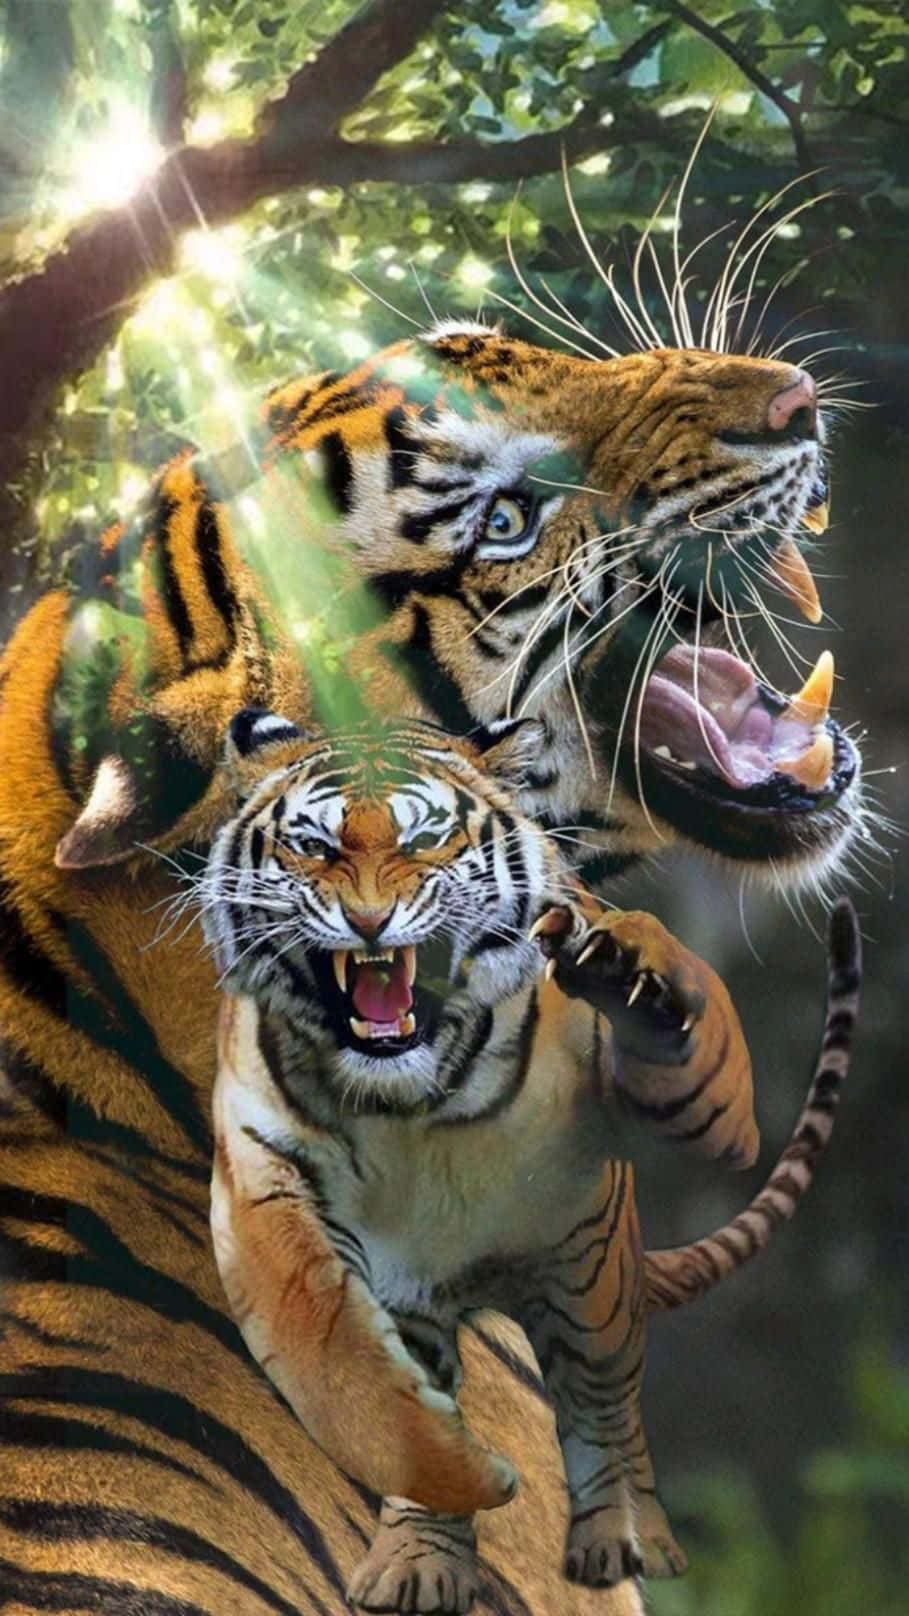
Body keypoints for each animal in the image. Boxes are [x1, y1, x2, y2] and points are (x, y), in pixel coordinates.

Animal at [204, 708, 861, 1614]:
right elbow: (336, 1359)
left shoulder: (699, 1121)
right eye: (314, 846)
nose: (368, 922)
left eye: (426, 839)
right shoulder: (264, 1183)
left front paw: (627, 972)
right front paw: (463, 1477)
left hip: (592, 1284)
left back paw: (624, 1541)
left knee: (603, 1410)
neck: (405, 1096)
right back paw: (419, 1560)